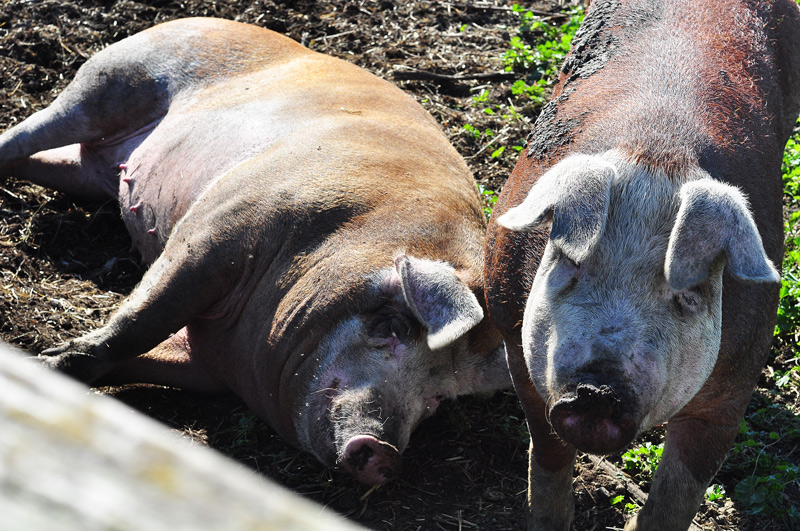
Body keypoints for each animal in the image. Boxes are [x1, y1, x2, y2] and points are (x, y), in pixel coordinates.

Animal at [0, 17, 509, 486]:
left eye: (440, 395)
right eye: (394, 326)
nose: (385, 453)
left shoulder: (207, 364)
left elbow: (138, 357)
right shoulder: (216, 230)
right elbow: (138, 323)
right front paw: (41, 363)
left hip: (91, 170)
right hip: (110, 82)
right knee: (23, 135)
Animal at [484, 0, 800, 529]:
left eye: (686, 293)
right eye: (569, 264)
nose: (597, 391)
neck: (655, 151)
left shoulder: (736, 380)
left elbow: (679, 492)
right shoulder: (514, 338)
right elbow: (547, 451)